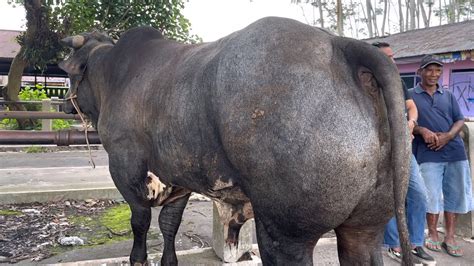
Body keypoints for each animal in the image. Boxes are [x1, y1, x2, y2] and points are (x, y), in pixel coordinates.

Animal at [58, 17, 412, 264]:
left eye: (72, 74)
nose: (64, 104)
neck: (114, 76)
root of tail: (337, 44)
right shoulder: (180, 178)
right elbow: (169, 224)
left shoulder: (124, 167)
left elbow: (141, 222)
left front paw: (138, 259)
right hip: (366, 226)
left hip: (286, 233)